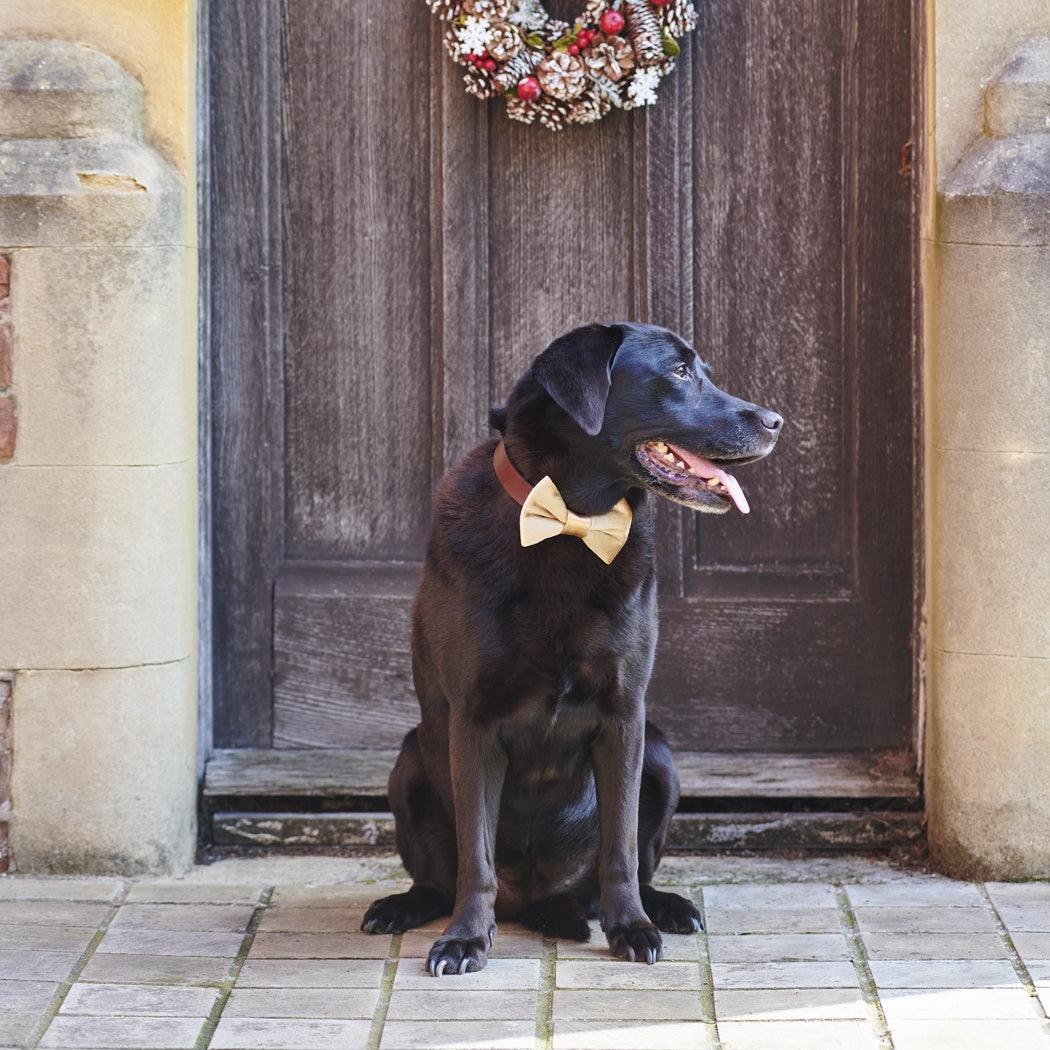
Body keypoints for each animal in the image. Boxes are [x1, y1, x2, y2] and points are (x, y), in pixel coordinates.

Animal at [363, 323, 781, 970]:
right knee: (436, 876)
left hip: (660, 754)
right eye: (680, 372)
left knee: (628, 864)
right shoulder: (472, 722)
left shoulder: (624, 716)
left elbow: (619, 847)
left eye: (703, 370)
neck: (570, 521)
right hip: (408, 761)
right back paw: (402, 906)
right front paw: (464, 938)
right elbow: (475, 856)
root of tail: (537, 897)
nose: (776, 420)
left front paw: (630, 927)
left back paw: (663, 907)